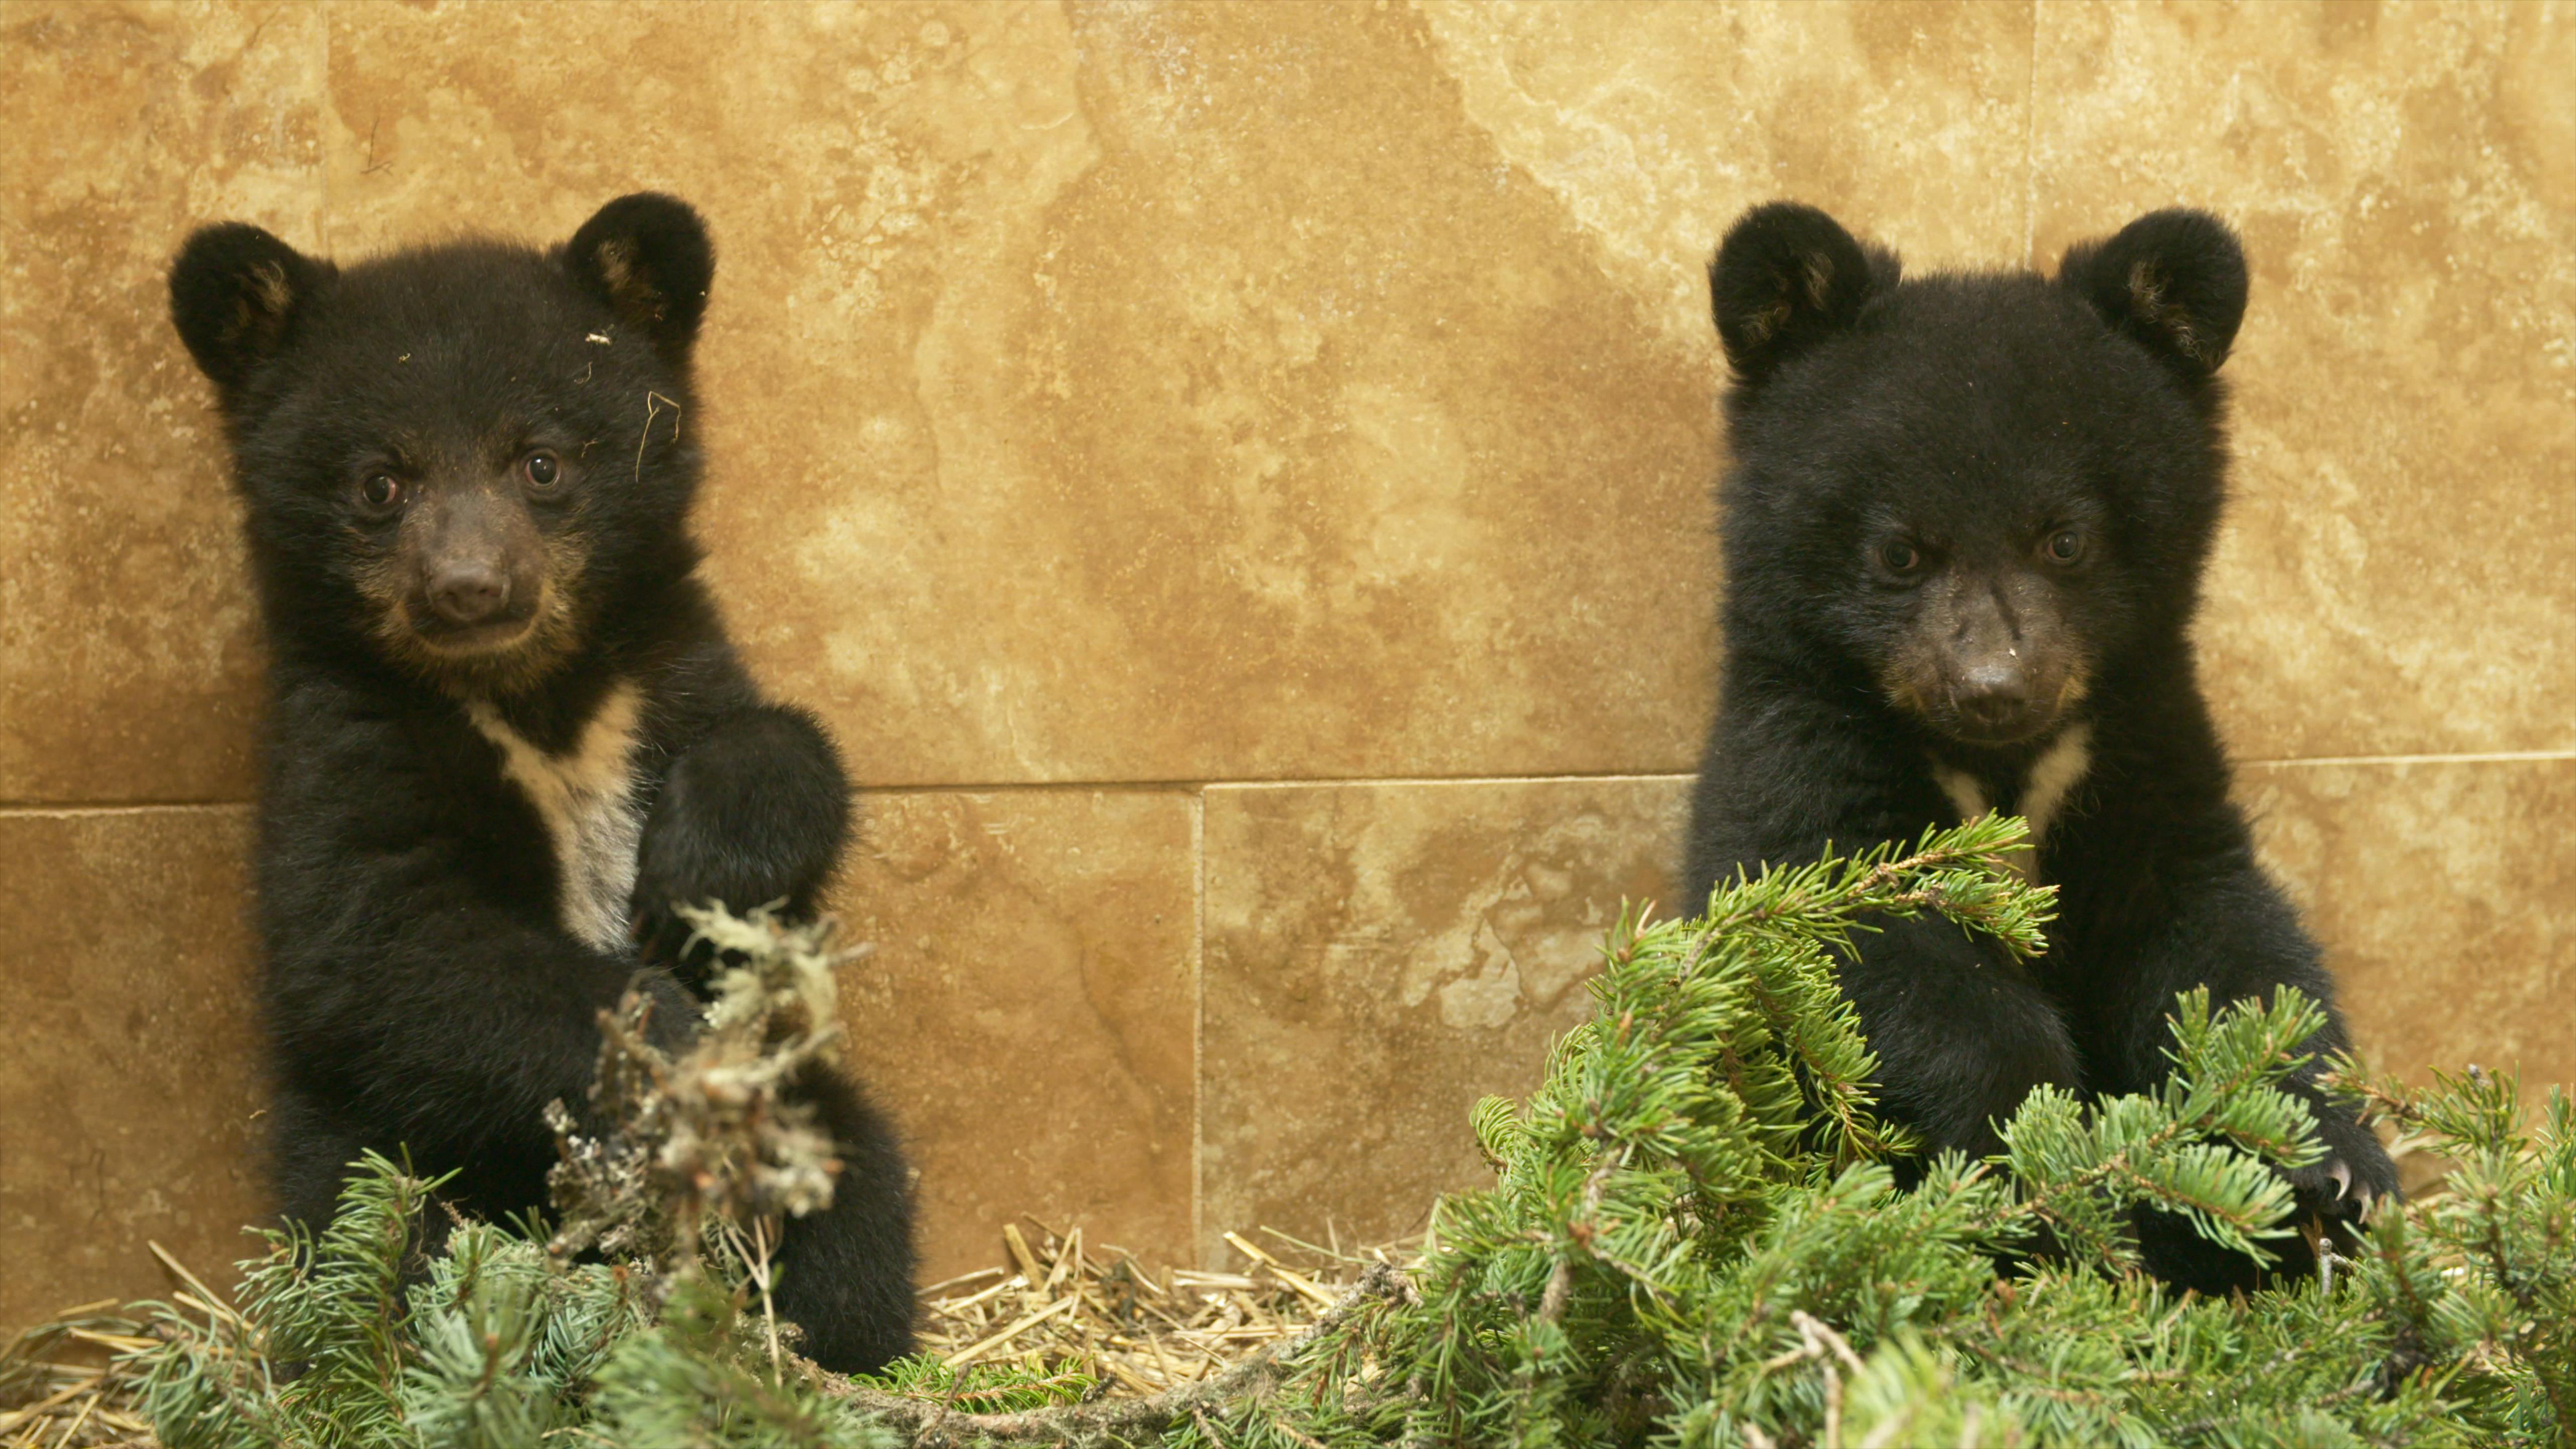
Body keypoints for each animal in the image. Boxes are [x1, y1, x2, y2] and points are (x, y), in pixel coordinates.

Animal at [167, 194, 916, 1371]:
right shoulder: (347, 745)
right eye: (380, 482)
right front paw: (664, 1038)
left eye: (542, 463)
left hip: (811, 1114)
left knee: (862, 1214)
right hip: (359, 1139)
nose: (470, 588)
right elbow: (390, 943)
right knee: (378, 1251)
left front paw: (696, 864)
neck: (529, 694)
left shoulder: (666, 675)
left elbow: (786, 753)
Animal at [1681, 201, 2398, 1293]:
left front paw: (2331, 1165)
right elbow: (1860, 944)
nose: (1994, 688)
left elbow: (2222, 943)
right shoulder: (1801, 741)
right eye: (1899, 551)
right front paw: (2038, 1153)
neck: (2007, 765)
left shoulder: (2141, 748)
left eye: (2066, 539)